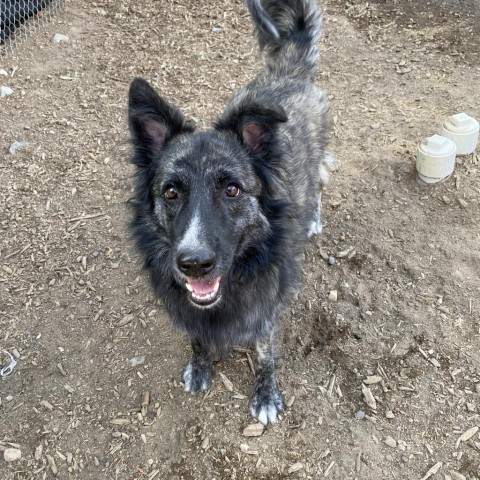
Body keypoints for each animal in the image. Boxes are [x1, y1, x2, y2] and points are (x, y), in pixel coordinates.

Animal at [125, 0, 332, 428]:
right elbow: (197, 338)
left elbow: (265, 355)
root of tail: (288, 73)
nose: (194, 263)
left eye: (232, 189)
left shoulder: (265, 310)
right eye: (171, 192)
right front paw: (199, 366)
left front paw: (266, 395)